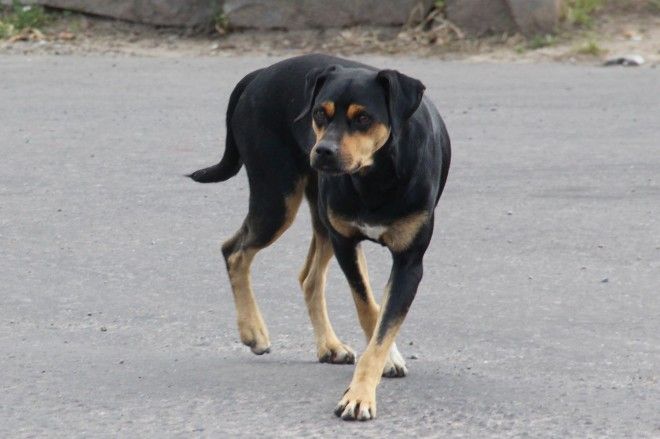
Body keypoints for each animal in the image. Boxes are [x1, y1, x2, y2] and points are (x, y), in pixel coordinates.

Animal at [188, 53, 452, 422]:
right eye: (319, 114)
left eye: (363, 118)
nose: (323, 150)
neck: (375, 177)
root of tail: (259, 74)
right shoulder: (346, 243)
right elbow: (368, 310)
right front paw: (368, 384)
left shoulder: (409, 262)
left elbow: (382, 324)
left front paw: (364, 389)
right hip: (278, 201)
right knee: (234, 251)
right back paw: (253, 332)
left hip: (316, 216)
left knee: (308, 276)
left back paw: (330, 346)